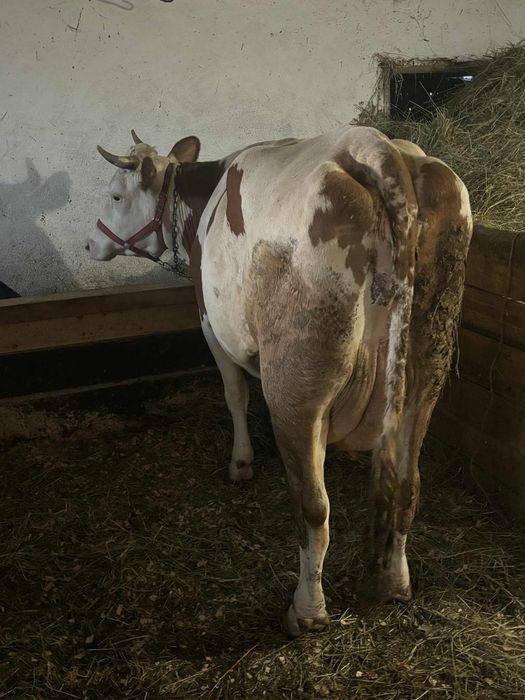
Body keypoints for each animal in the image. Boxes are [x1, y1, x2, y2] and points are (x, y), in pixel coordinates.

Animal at [87, 125, 472, 636]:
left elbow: (234, 395)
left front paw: (241, 463)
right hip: (426, 372)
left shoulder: (210, 322)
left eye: (115, 194)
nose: (90, 244)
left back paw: (306, 612)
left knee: (314, 508)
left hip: (297, 387)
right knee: (406, 484)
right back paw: (396, 583)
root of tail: (378, 147)